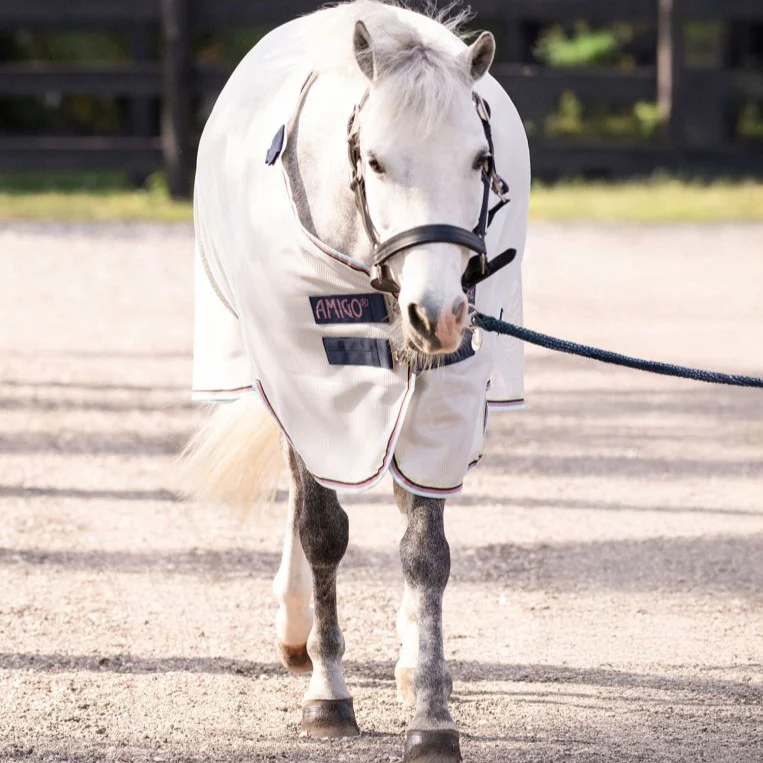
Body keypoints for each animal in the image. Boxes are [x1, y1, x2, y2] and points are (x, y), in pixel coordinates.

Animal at [184, 2, 530, 760]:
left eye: (480, 160)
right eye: (374, 160)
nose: (439, 312)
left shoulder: (443, 393)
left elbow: (425, 551)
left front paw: (431, 708)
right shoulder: (306, 376)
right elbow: (321, 530)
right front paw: (327, 693)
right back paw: (297, 633)